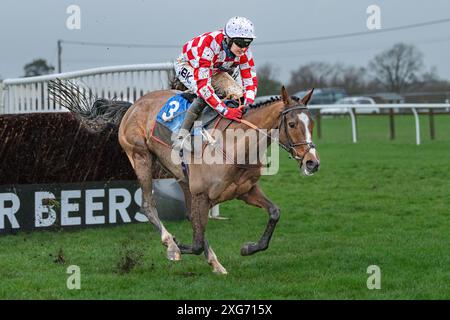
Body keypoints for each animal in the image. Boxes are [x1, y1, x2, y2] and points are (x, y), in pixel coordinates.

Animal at [51, 81, 320, 274]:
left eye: (312, 123)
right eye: (292, 124)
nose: (312, 162)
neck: (236, 145)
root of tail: (133, 105)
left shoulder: (245, 191)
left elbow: (274, 212)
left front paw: (248, 248)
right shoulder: (202, 193)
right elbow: (197, 240)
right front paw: (177, 246)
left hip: (180, 175)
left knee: (190, 214)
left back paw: (215, 263)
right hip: (141, 157)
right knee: (148, 205)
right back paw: (171, 245)